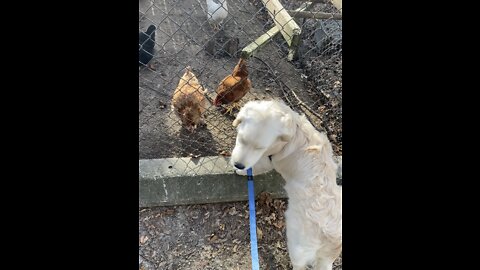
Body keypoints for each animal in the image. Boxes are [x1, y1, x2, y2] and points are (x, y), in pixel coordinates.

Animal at [230, 99, 340, 270]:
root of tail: (331, 234)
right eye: (241, 139)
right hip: (325, 257)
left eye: (259, 148)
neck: (293, 128)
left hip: (297, 245)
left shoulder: (268, 160)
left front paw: (241, 171)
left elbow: (256, 167)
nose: (239, 164)